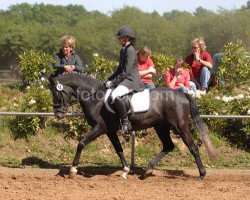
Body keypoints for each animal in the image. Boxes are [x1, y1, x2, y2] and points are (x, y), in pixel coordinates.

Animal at [48, 72, 217, 180]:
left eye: (56, 94)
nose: (58, 115)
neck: (95, 97)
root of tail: (182, 94)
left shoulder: (99, 128)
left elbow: (81, 143)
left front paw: (73, 169)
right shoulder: (110, 131)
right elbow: (119, 150)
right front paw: (125, 171)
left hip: (180, 127)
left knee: (193, 147)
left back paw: (202, 174)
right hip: (161, 127)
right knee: (168, 146)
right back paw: (146, 171)